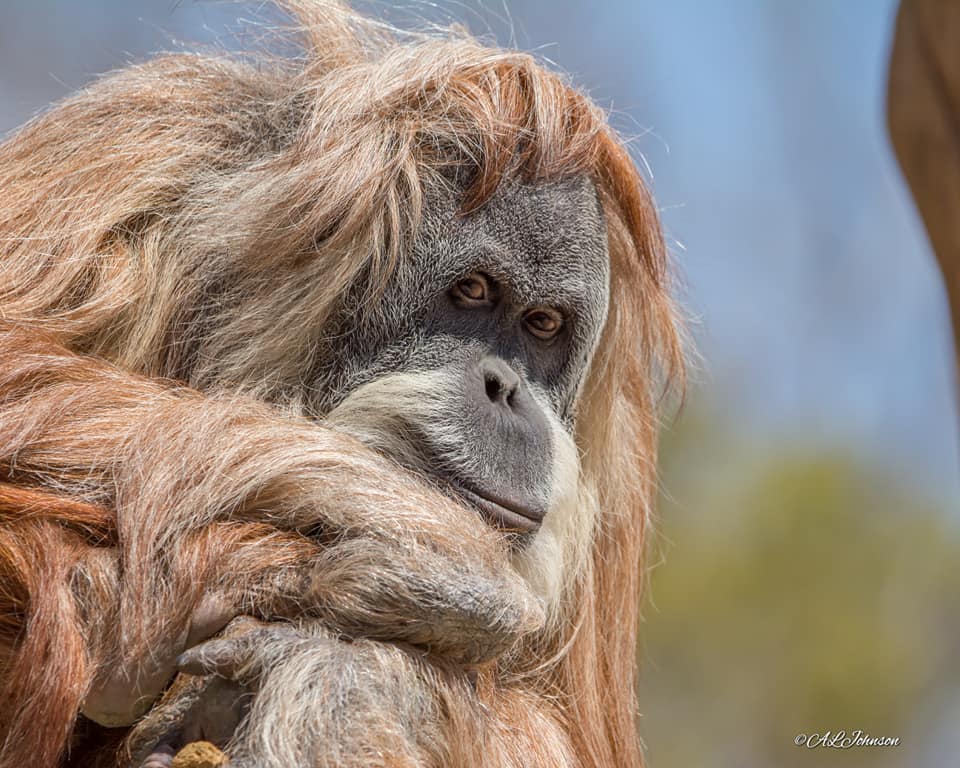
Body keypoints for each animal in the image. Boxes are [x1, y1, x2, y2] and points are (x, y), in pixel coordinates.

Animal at [0, 2, 683, 767]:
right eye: (473, 291)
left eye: (542, 326)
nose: (507, 390)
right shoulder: (143, 135)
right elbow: (19, 371)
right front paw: (434, 566)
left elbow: (563, 731)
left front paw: (343, 647)